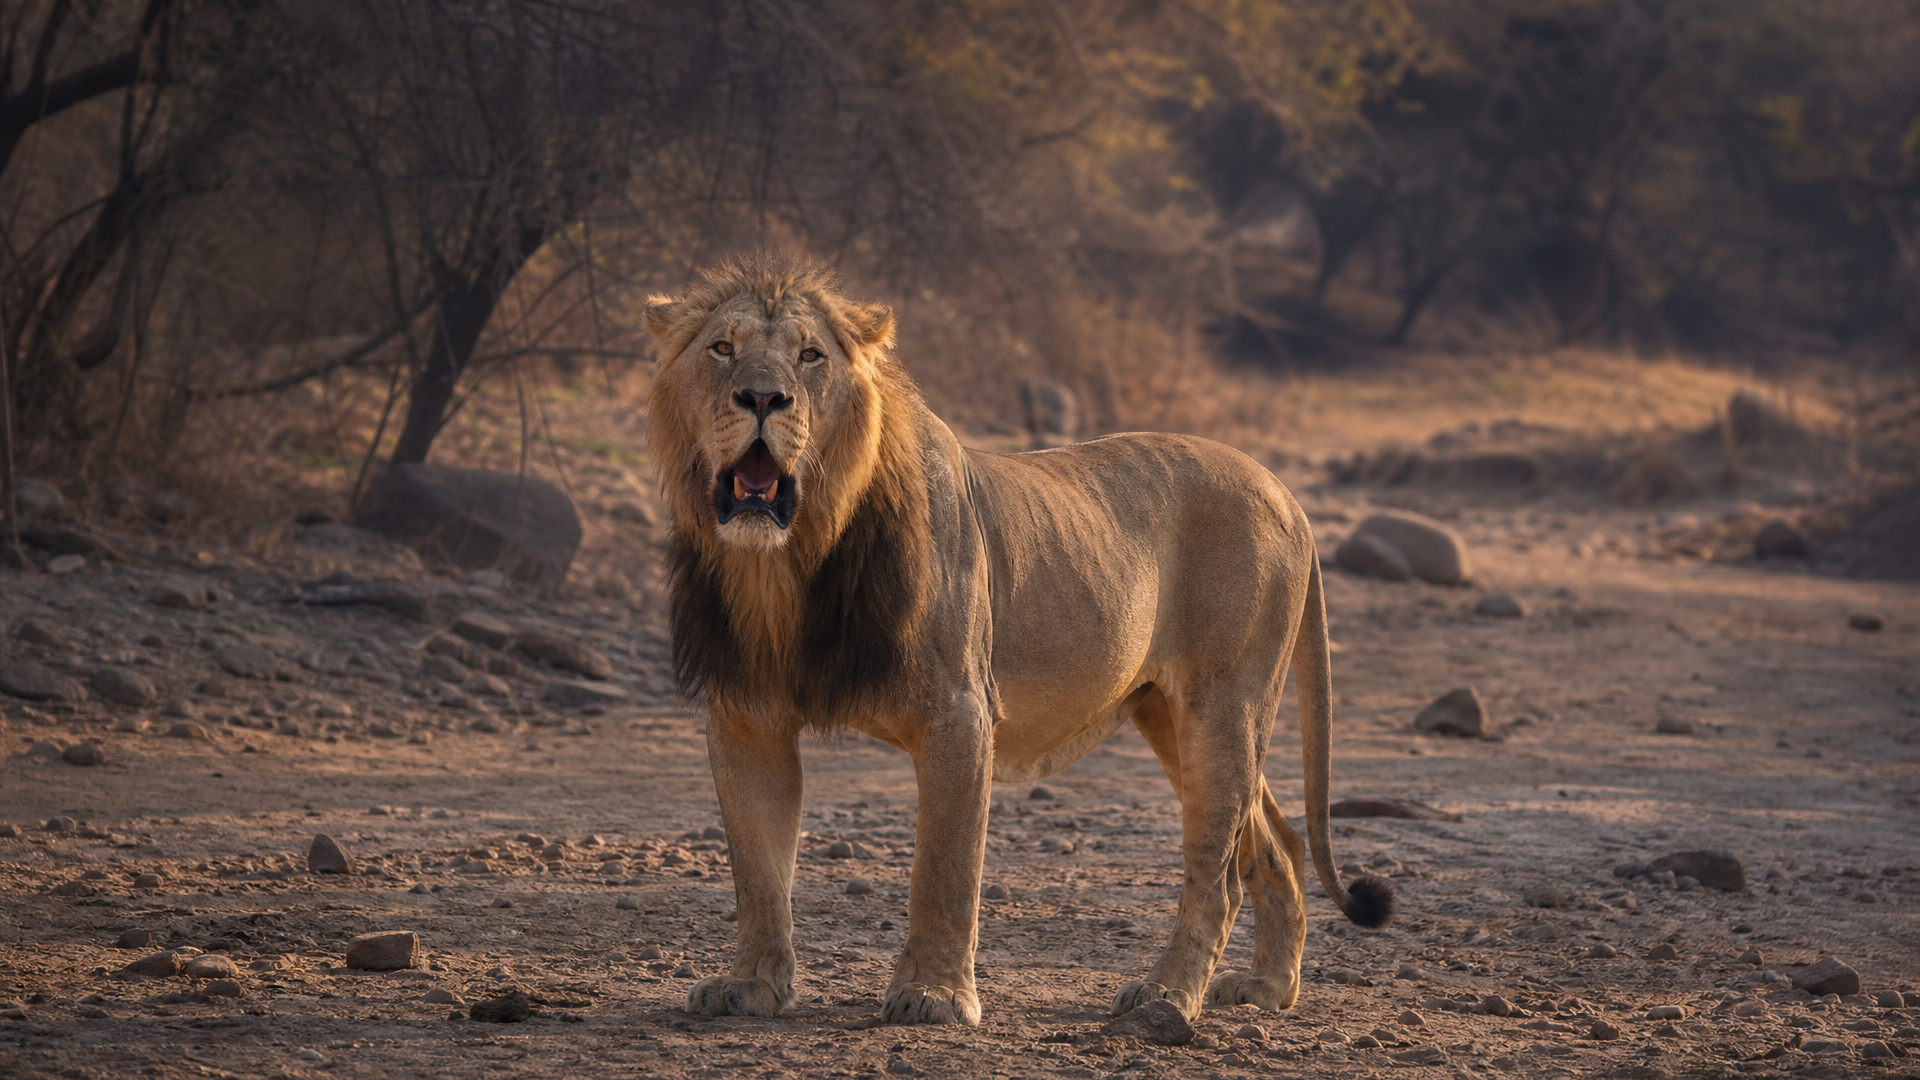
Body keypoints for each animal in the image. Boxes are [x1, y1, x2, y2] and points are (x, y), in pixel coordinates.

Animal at [642, 255, 1393, 1027]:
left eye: (810, 355)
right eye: (721, 349)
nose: (763, 397)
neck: (791, 564)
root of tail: (1284, 490)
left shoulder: (959, 711)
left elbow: (943, 870)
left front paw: (934, 995)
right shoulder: (748, 718)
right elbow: (758, 871)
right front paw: (751, 985)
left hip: (1225, 705)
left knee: (1217, 877)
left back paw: (1164, 998)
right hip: (1169, 712)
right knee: (1280, 843)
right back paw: (1269, 986)